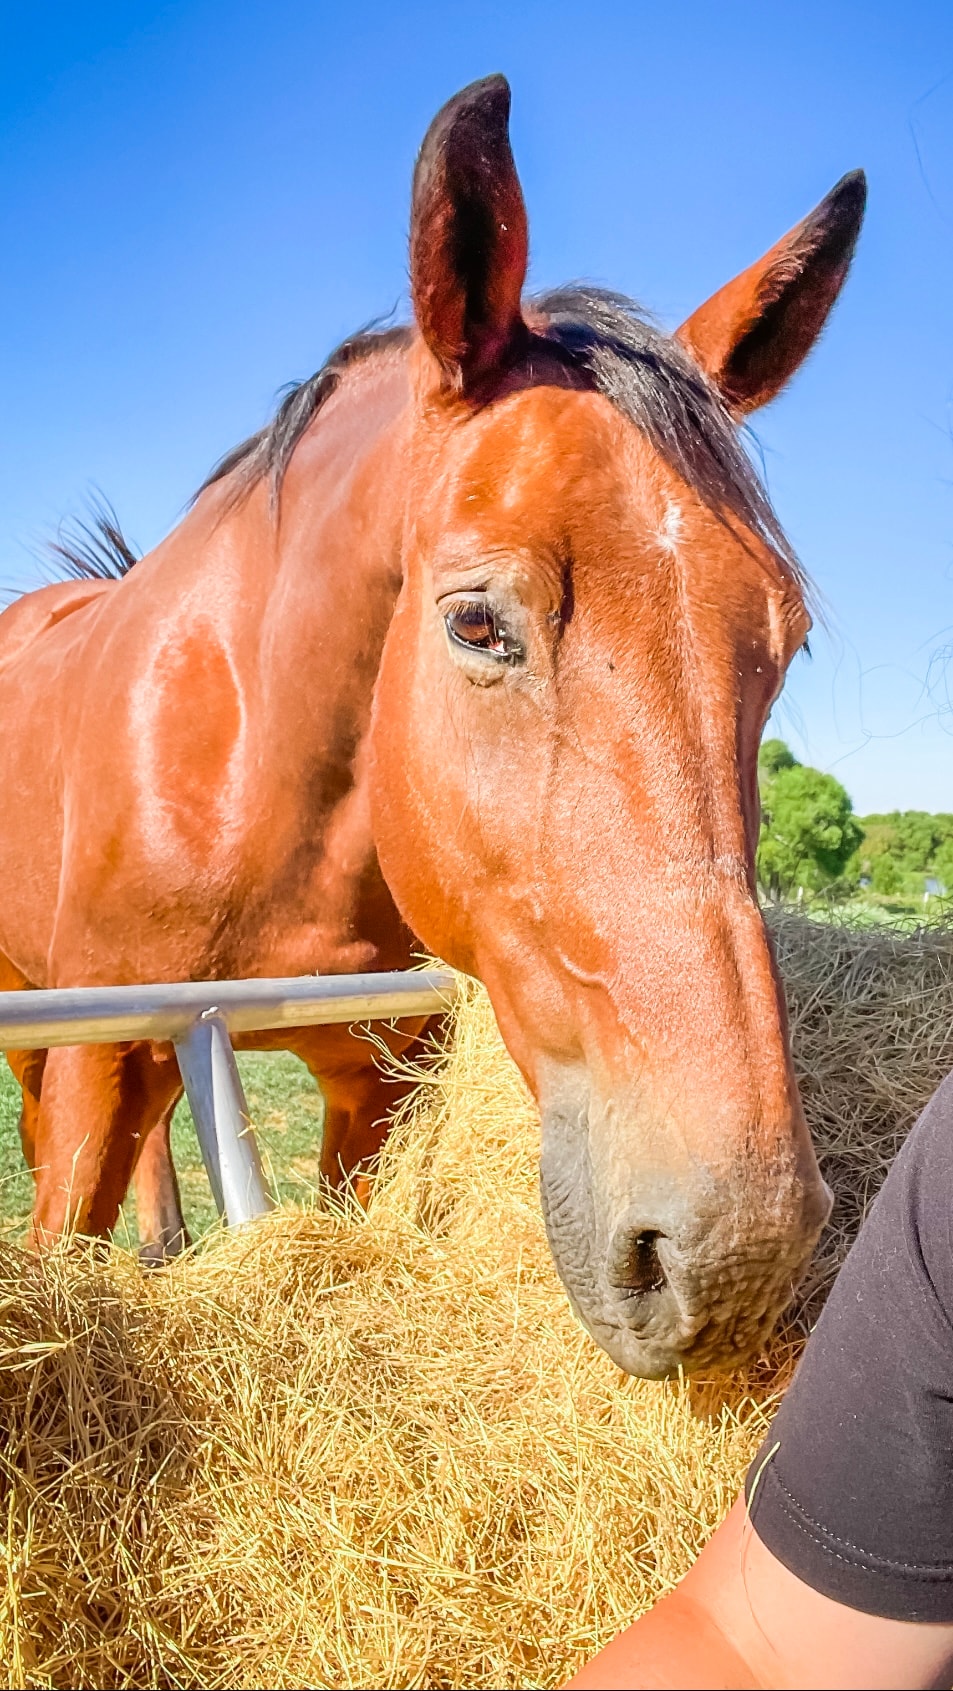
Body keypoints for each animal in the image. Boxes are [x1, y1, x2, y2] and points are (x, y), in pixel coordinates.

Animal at [0, 75, 865, 1377]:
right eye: (475, 621)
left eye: (785, 637)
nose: (737, 1253)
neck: (249, 775)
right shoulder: (102, 1048)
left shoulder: (375, 1084)